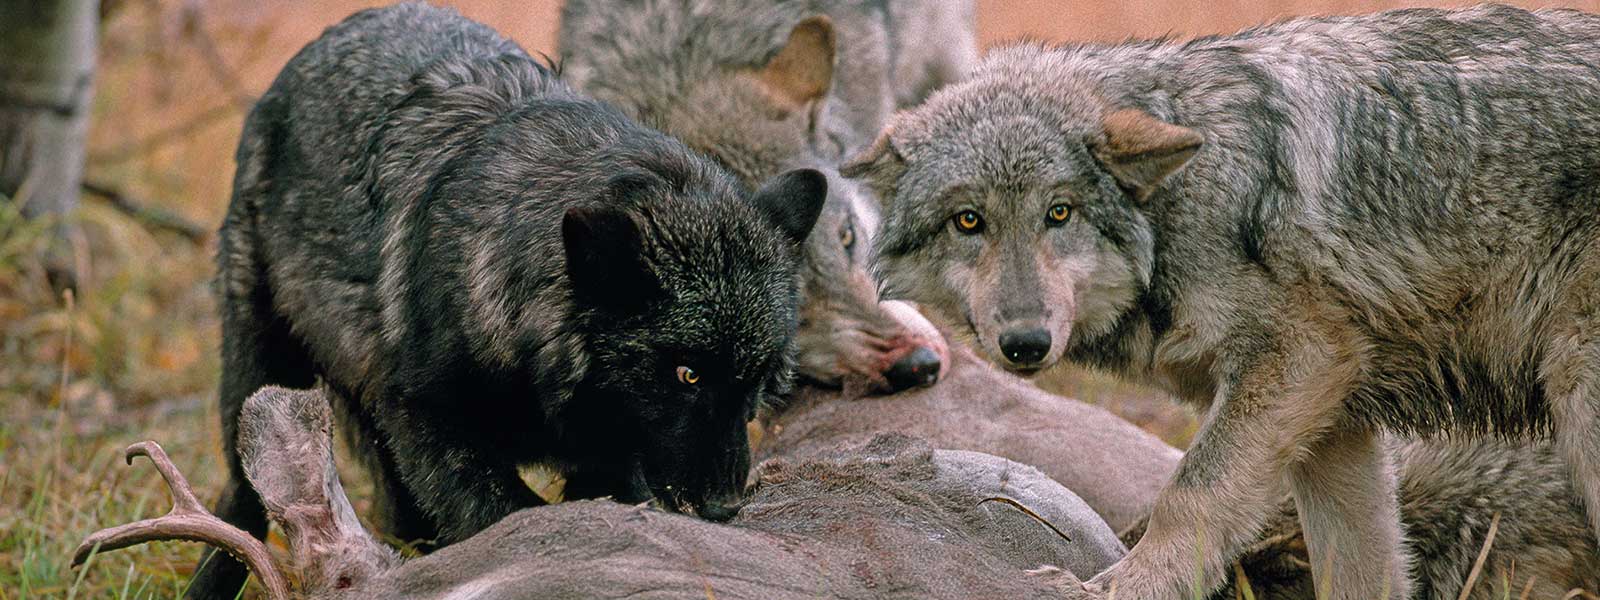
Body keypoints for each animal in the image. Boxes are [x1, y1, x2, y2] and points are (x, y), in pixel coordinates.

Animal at [193, 4, 825, 600]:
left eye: (757, 381)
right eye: (688, 374)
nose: (725, 508)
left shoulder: (609, 460)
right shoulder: (426, 421)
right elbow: (505, 521)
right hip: (261, 377)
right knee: (242, 500)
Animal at [844, 3, 1593, 598]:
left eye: (1059, 213)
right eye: (968, 221)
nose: (1024, 344)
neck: (1181, 200)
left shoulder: (1298, 363)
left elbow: (1187, 497)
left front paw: (1115, 590)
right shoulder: (1333, 420)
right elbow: (1357, 570)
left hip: (1578, 399)